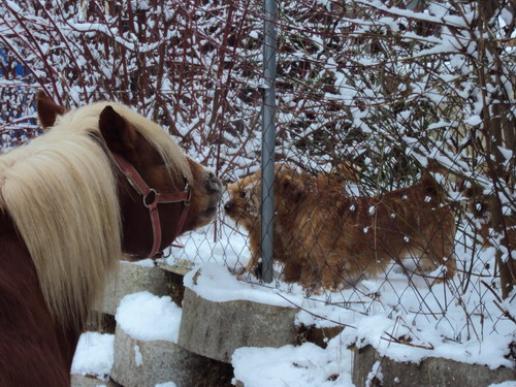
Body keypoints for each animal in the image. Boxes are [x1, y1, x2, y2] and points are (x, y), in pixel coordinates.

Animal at [225, 166, 456, 292]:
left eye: (248, 191)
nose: (227, 205)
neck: (300, 207)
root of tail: (429, 190)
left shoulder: (331, 261)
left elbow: (327, 283)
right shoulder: (308, 262)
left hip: (437, 246)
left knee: (451, 267)